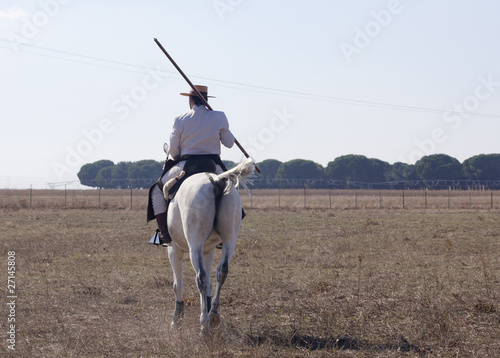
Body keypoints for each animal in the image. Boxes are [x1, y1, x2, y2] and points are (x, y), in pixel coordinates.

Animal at [164, 157, 254, 332]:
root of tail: (216, 181)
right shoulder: (208, 250)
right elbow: (211, 284)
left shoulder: (174, 250)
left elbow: (178, 285)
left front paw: (176, 319)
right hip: (229, 239)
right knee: (222, 271)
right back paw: (213, 314)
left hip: (195, 245)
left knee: (201, 277)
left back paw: (204, 325)